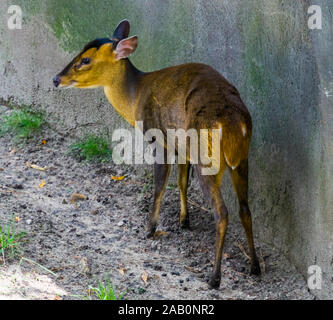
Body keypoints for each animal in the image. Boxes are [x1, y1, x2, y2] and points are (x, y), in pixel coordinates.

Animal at [53, 20, 260, 290]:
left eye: (85, 59)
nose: (56, 79)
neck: (136, 96)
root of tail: (232, 122)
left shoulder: (158, 138)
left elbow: (159, 185)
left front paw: (149, 228)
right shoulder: (181, 146)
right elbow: (181, 182)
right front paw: (184, 221)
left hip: (207, 158)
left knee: (222, 212)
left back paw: (214, 278)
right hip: (241, 159)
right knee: (245, 208)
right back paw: (255, 266)